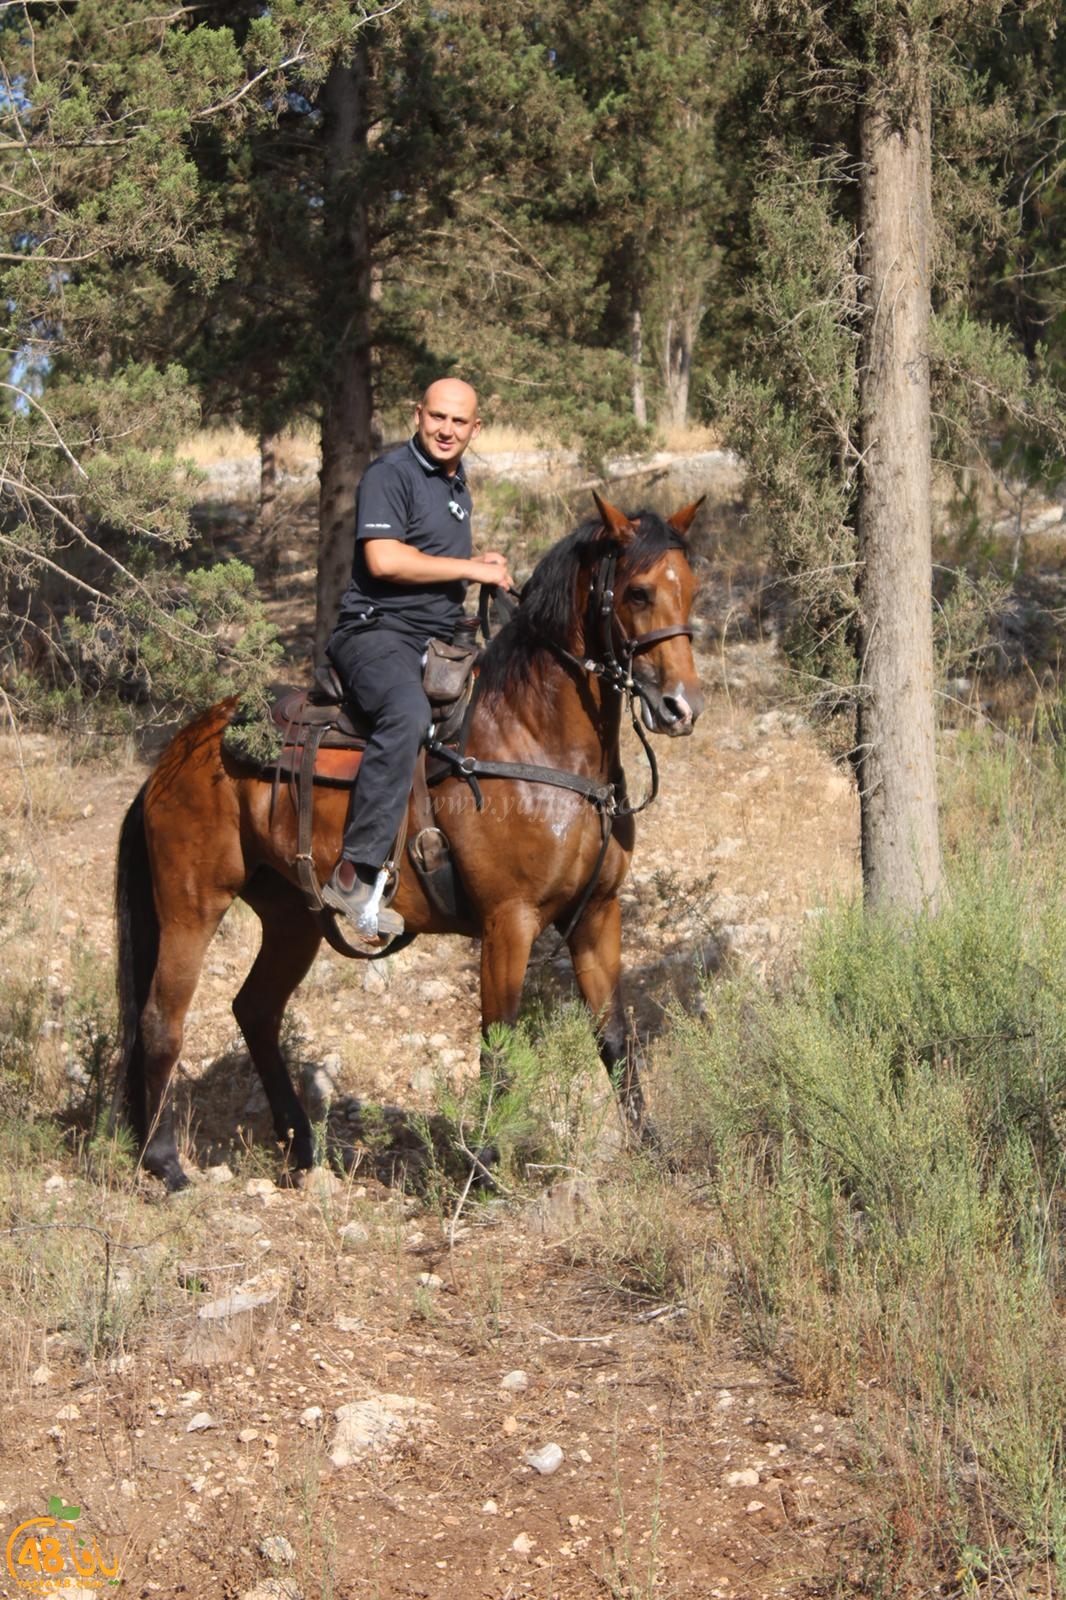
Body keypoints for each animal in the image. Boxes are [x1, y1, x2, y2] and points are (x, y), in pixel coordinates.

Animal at [116, 496, 701, 1190]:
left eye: (691, 588)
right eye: (638, 592)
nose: (680, 707)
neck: (535, 737)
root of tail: (177, 752)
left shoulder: (597, 916)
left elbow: (613, 1037)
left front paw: (655, 1152)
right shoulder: (509, 923)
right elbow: (497, 1051)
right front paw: (486, 1169)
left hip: (292, 919)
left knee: (254, 1011)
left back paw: (303, 1147)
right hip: (192, 906)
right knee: (160, 1018)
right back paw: (165, 1163)